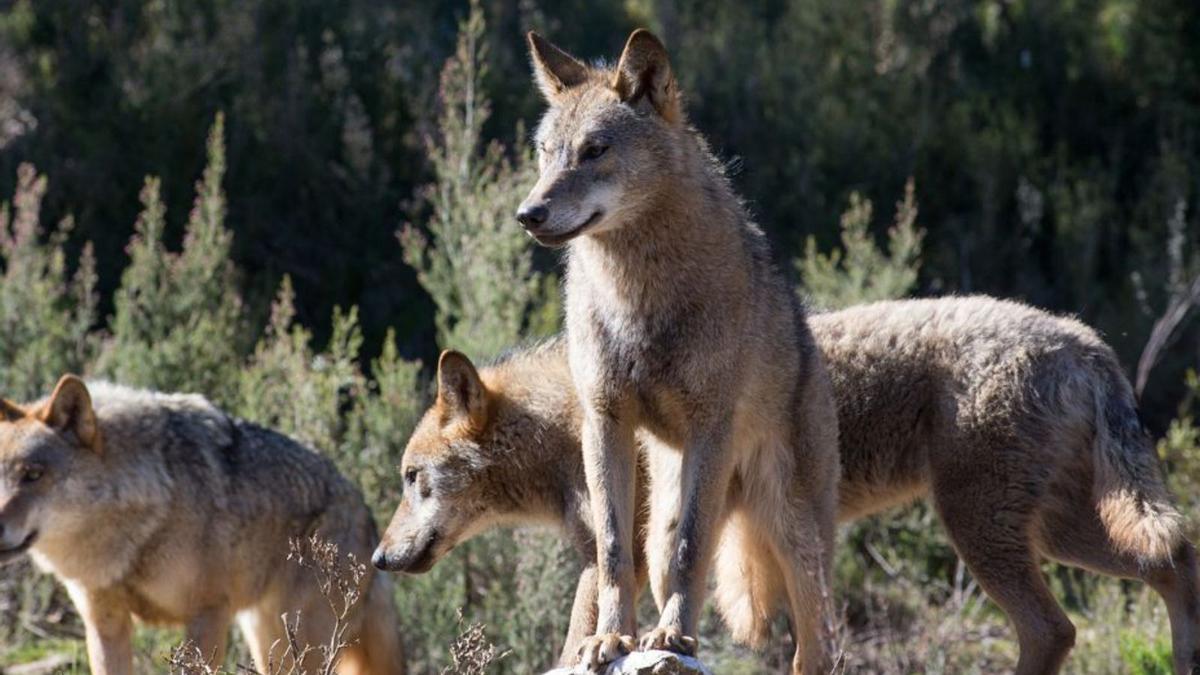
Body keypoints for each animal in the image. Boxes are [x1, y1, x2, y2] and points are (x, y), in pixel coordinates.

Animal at [0, 372, 405, 672]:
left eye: (33, 474)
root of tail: (366, 513)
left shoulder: (208, 615)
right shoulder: (105, 624)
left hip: (303, 644)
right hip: (267, 640)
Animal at [374, 296, 1200, 672]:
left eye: (412, 479)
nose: (380, 558)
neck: (565, 421)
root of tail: (1084, 339)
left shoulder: (618, 558)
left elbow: (580, 639)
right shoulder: (624, 557)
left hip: (985, 530)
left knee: (1056, 626)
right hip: (1061, 533)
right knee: (1174, 559)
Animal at [516, 28, 844, 667]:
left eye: (594, 150)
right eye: (545, 151)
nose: (528, 214)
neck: (637, 298)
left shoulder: (710, 424)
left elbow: (694, 549)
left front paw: (672, 637)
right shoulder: (604, 422)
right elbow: (613, 551)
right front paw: (610, 638)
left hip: (793, 534)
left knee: (815, 647)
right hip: (665, 511)